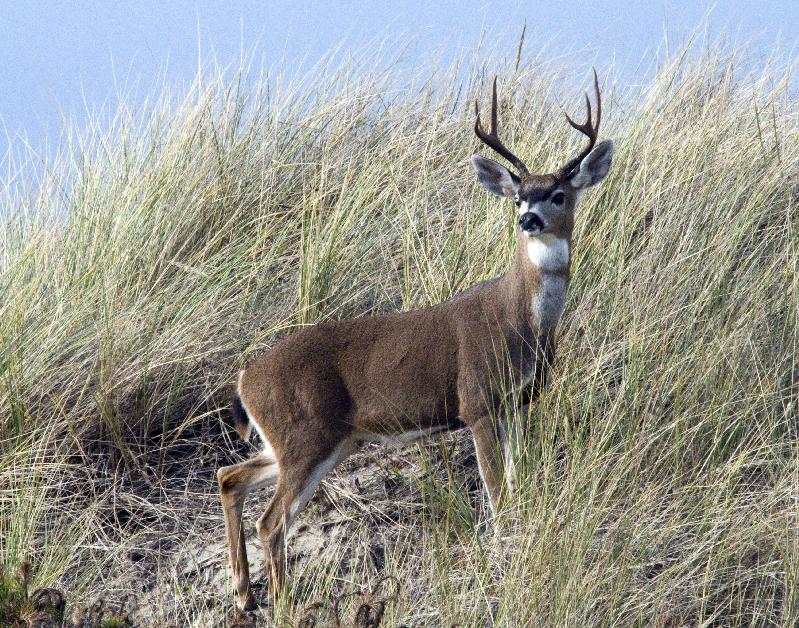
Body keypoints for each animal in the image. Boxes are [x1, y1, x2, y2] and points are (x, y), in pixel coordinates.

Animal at [217, 71, 613, 611]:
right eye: (517, 196)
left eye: (557, 194)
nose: (527, 219)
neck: (521, 321)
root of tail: (244, 379)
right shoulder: (477, 402)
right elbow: (496, 495)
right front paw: (501, 551)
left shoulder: (519, 403)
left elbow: (518, 483)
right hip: (305, 437)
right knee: (271, 521)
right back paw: (284, 603)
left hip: (318, 441)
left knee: (230, 478)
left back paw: (243, 595)